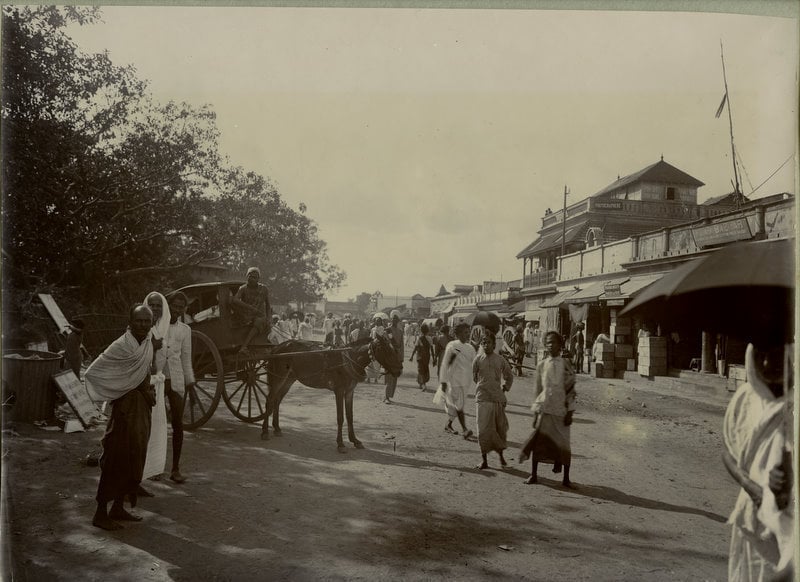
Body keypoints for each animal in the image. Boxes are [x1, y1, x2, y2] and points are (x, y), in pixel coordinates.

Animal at [260, 336, 400, 454]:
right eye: (386, 350)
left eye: (394, 349)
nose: (399, 370)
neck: (350, 358)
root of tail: (276, 348)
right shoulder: (339, 390)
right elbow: (340, 417)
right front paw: (341, 444)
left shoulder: (350, 391)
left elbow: (350, 416)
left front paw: (355, 441)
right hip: (279, 378)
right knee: (270, 399)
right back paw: (265, 432)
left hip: (289, 379)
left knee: (277, 400)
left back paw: (277, 428)